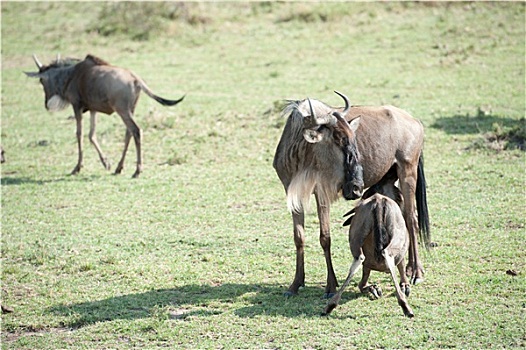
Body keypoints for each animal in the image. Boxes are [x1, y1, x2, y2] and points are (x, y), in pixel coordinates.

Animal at [25, 54, 186, 178]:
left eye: (41, 80)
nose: (46, 104)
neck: (71, 75)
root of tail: (135, 79)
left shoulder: (77, 106)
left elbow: (79, 134)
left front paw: (77, 167)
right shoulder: (92, 109)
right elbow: (91, 135)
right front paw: (106, 163)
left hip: (123, 111)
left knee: (136, 131)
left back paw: (137, 171)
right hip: (130, 110)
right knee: (129, 133)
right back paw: (119, 168)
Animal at [324, 168, 414, 318]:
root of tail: (378, 201)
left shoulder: (367, 266)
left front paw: (373, 288)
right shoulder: (400, 255)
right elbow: (401, 269)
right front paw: (403, 286)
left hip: (357, 240)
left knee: (358, 259)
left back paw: (330, 305)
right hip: (394, 241)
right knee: (386, 255)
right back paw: (405, 306)